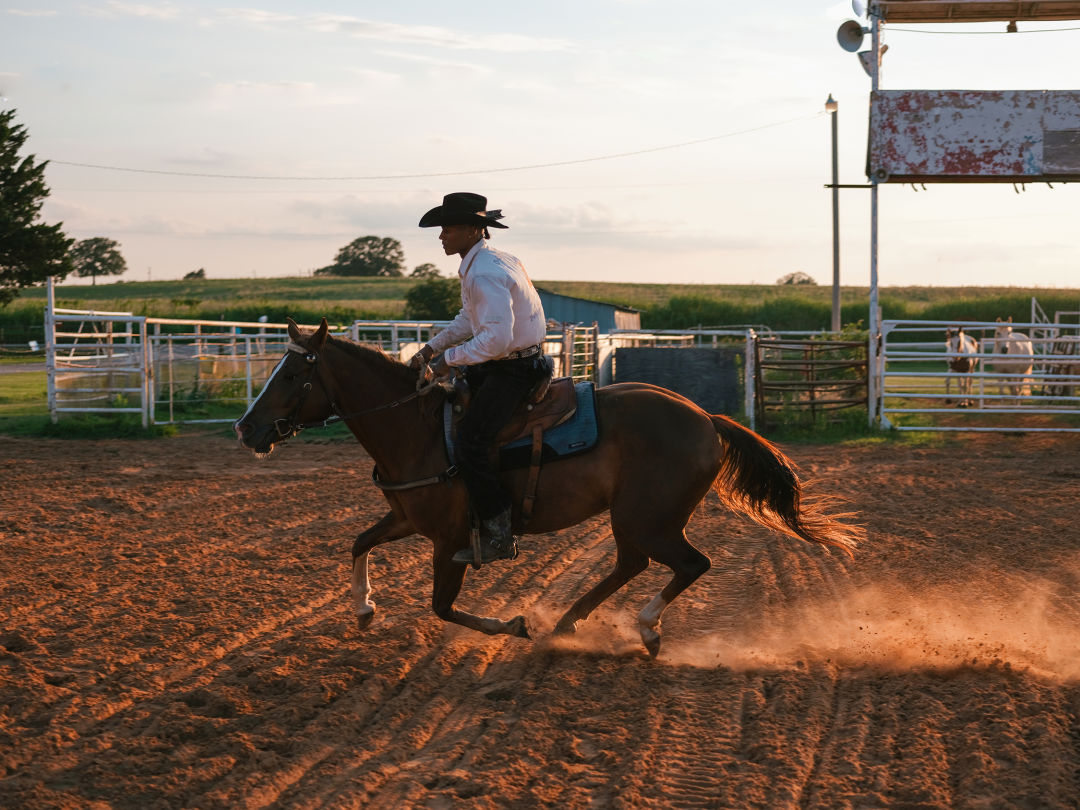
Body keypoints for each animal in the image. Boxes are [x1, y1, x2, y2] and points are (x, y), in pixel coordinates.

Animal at [236, 319, 859, 660]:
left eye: (292, 375)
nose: (246, 428)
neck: (417, 429)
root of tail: (705, 417)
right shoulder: (409, 519)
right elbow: (359, 542)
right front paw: (365, 608)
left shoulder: (449, 541)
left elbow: (442, 606)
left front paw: (513, 624)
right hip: (634, 518)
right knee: (633, 564)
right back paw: (569, 624)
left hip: (648, 516)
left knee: (689, 564)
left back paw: (643, 629)